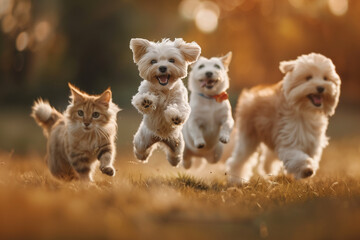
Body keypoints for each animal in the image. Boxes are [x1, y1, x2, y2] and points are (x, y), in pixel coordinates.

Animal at [130, 38, 202, 166]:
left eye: (172, 60)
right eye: (153, 61)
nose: (162, 67)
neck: (163, 89)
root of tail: (160, 138)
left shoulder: (179, 100)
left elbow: (179, 108)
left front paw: (176, 117)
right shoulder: (143, 92)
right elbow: (141, 99)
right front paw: (146, 101)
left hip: (177, 146)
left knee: (174, 157)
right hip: (142, 141)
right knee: (141, 152)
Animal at [226, 53, 342, 184]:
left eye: (326, 78)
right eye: (308, 77)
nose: (321, 87)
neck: (304, 111)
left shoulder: (312, 143)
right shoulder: (289, 138)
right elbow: (297, 157)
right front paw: (306, 169)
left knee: (268, 156)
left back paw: (267, 170)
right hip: (249, 136)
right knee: (240, 159)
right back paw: (236, 180)